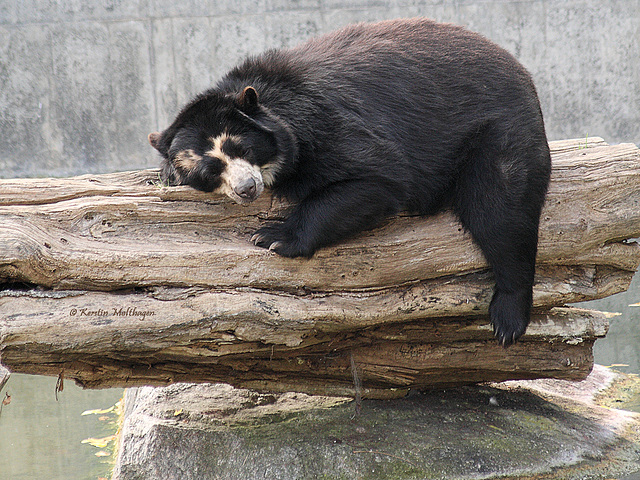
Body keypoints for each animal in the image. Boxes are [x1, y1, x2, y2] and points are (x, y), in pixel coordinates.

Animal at [149, 15, 552, 344]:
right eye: (210, 170)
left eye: (243, 147)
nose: (247, 189)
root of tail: (522, 73)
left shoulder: (324, 124)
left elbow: (379, 178)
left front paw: (274, 236)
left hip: (499, 134)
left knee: (501, 212)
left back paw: (508, 318)